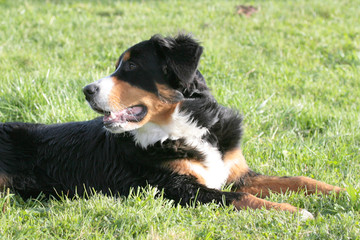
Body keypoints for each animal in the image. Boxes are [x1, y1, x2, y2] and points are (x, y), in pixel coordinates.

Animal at [0, 33, 344, 219]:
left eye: (131, 65)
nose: (86, 90)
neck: (184, 130)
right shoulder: (178, 188)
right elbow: (241, 199)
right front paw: (294, 213)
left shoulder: (235, 172)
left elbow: (297, 179)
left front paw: (338, 191)